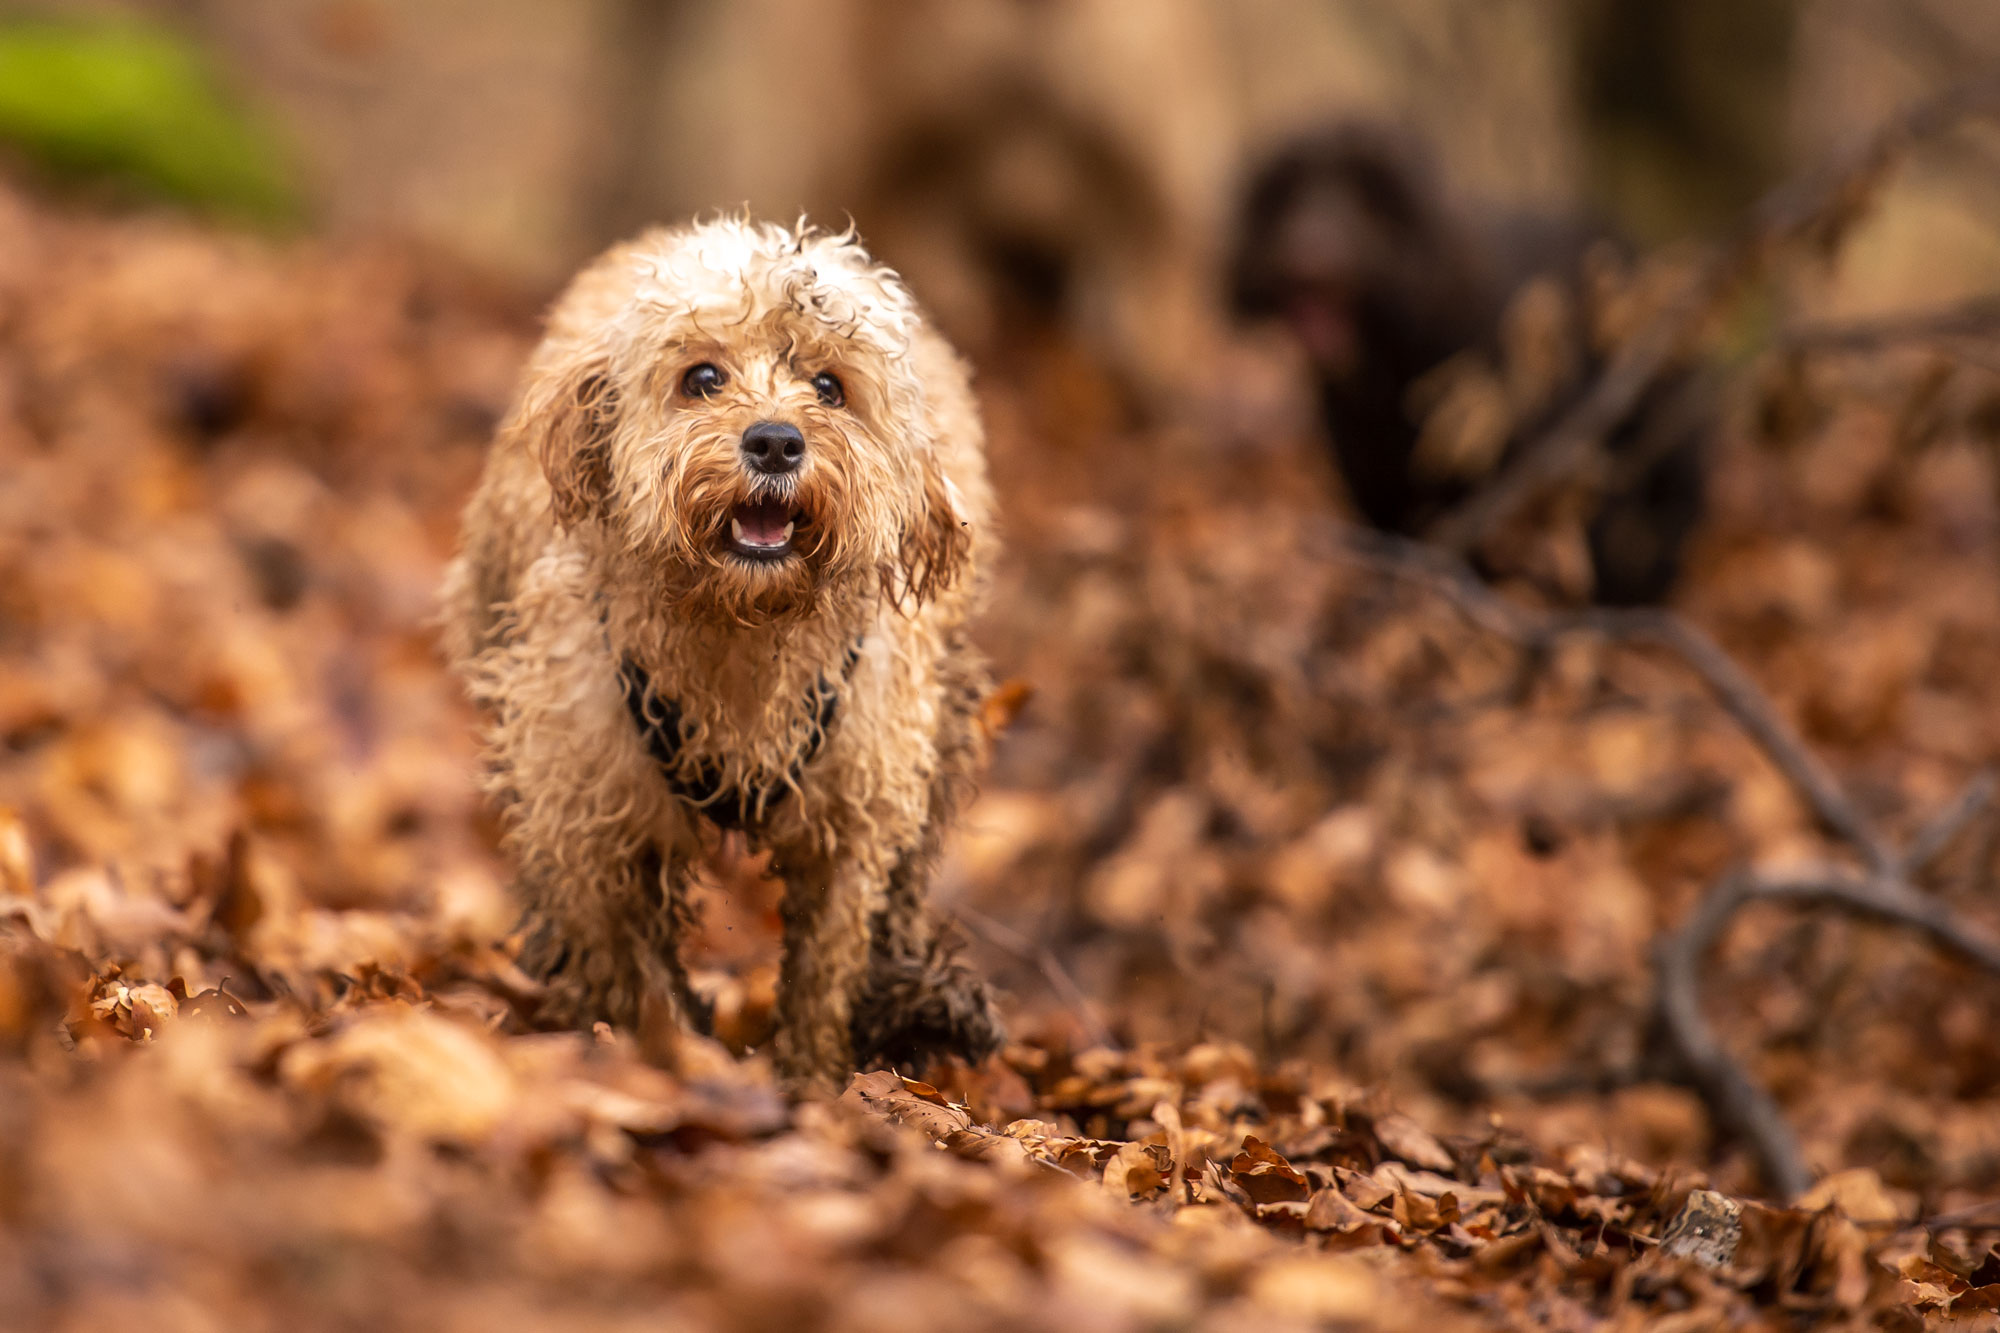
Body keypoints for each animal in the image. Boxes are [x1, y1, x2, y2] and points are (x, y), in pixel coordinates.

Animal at [442, 220, 996, 1088]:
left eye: (830, 387)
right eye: (702, 377)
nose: (774, 440)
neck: (742, 632)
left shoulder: (855, 814)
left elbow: (827, 962)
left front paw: (815, 1077)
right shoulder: (588, 807)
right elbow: (621, 953)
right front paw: (647, 1045)